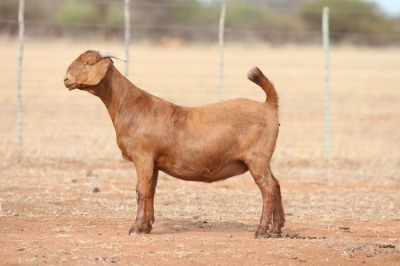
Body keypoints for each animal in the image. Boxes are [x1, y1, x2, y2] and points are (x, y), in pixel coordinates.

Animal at [63, 50, 284, 239]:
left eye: (88, 63)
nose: (66, 79)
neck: (131, 106)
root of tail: (269, 105)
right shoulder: (154, 162)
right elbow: (150, 191)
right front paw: (147, 226)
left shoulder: (143, 157)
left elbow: (141, 191)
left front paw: (136, 228)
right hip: (264, 158)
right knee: (276, 184)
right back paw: (277, 228)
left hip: (256, 157)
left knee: (267, 187)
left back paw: (262, 231)